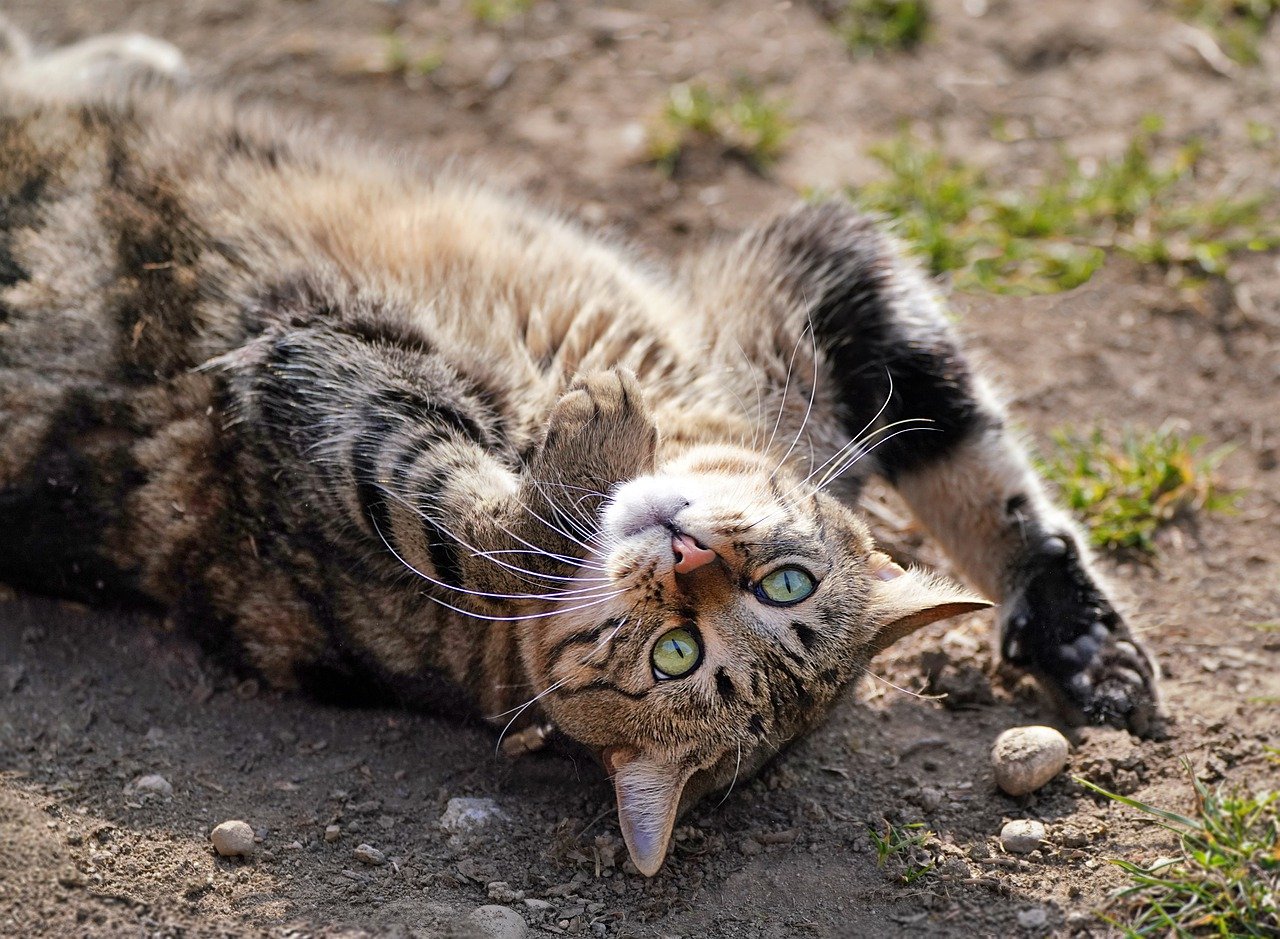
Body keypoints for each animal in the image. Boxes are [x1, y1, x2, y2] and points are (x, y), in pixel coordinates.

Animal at [0, 20, 1162, 875]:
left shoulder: (307, 386)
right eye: (788, 581)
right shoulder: (820, 277)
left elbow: (447, 504)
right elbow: (988, 472)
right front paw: (1084, 639)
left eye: (679, 655)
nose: (694, 559)